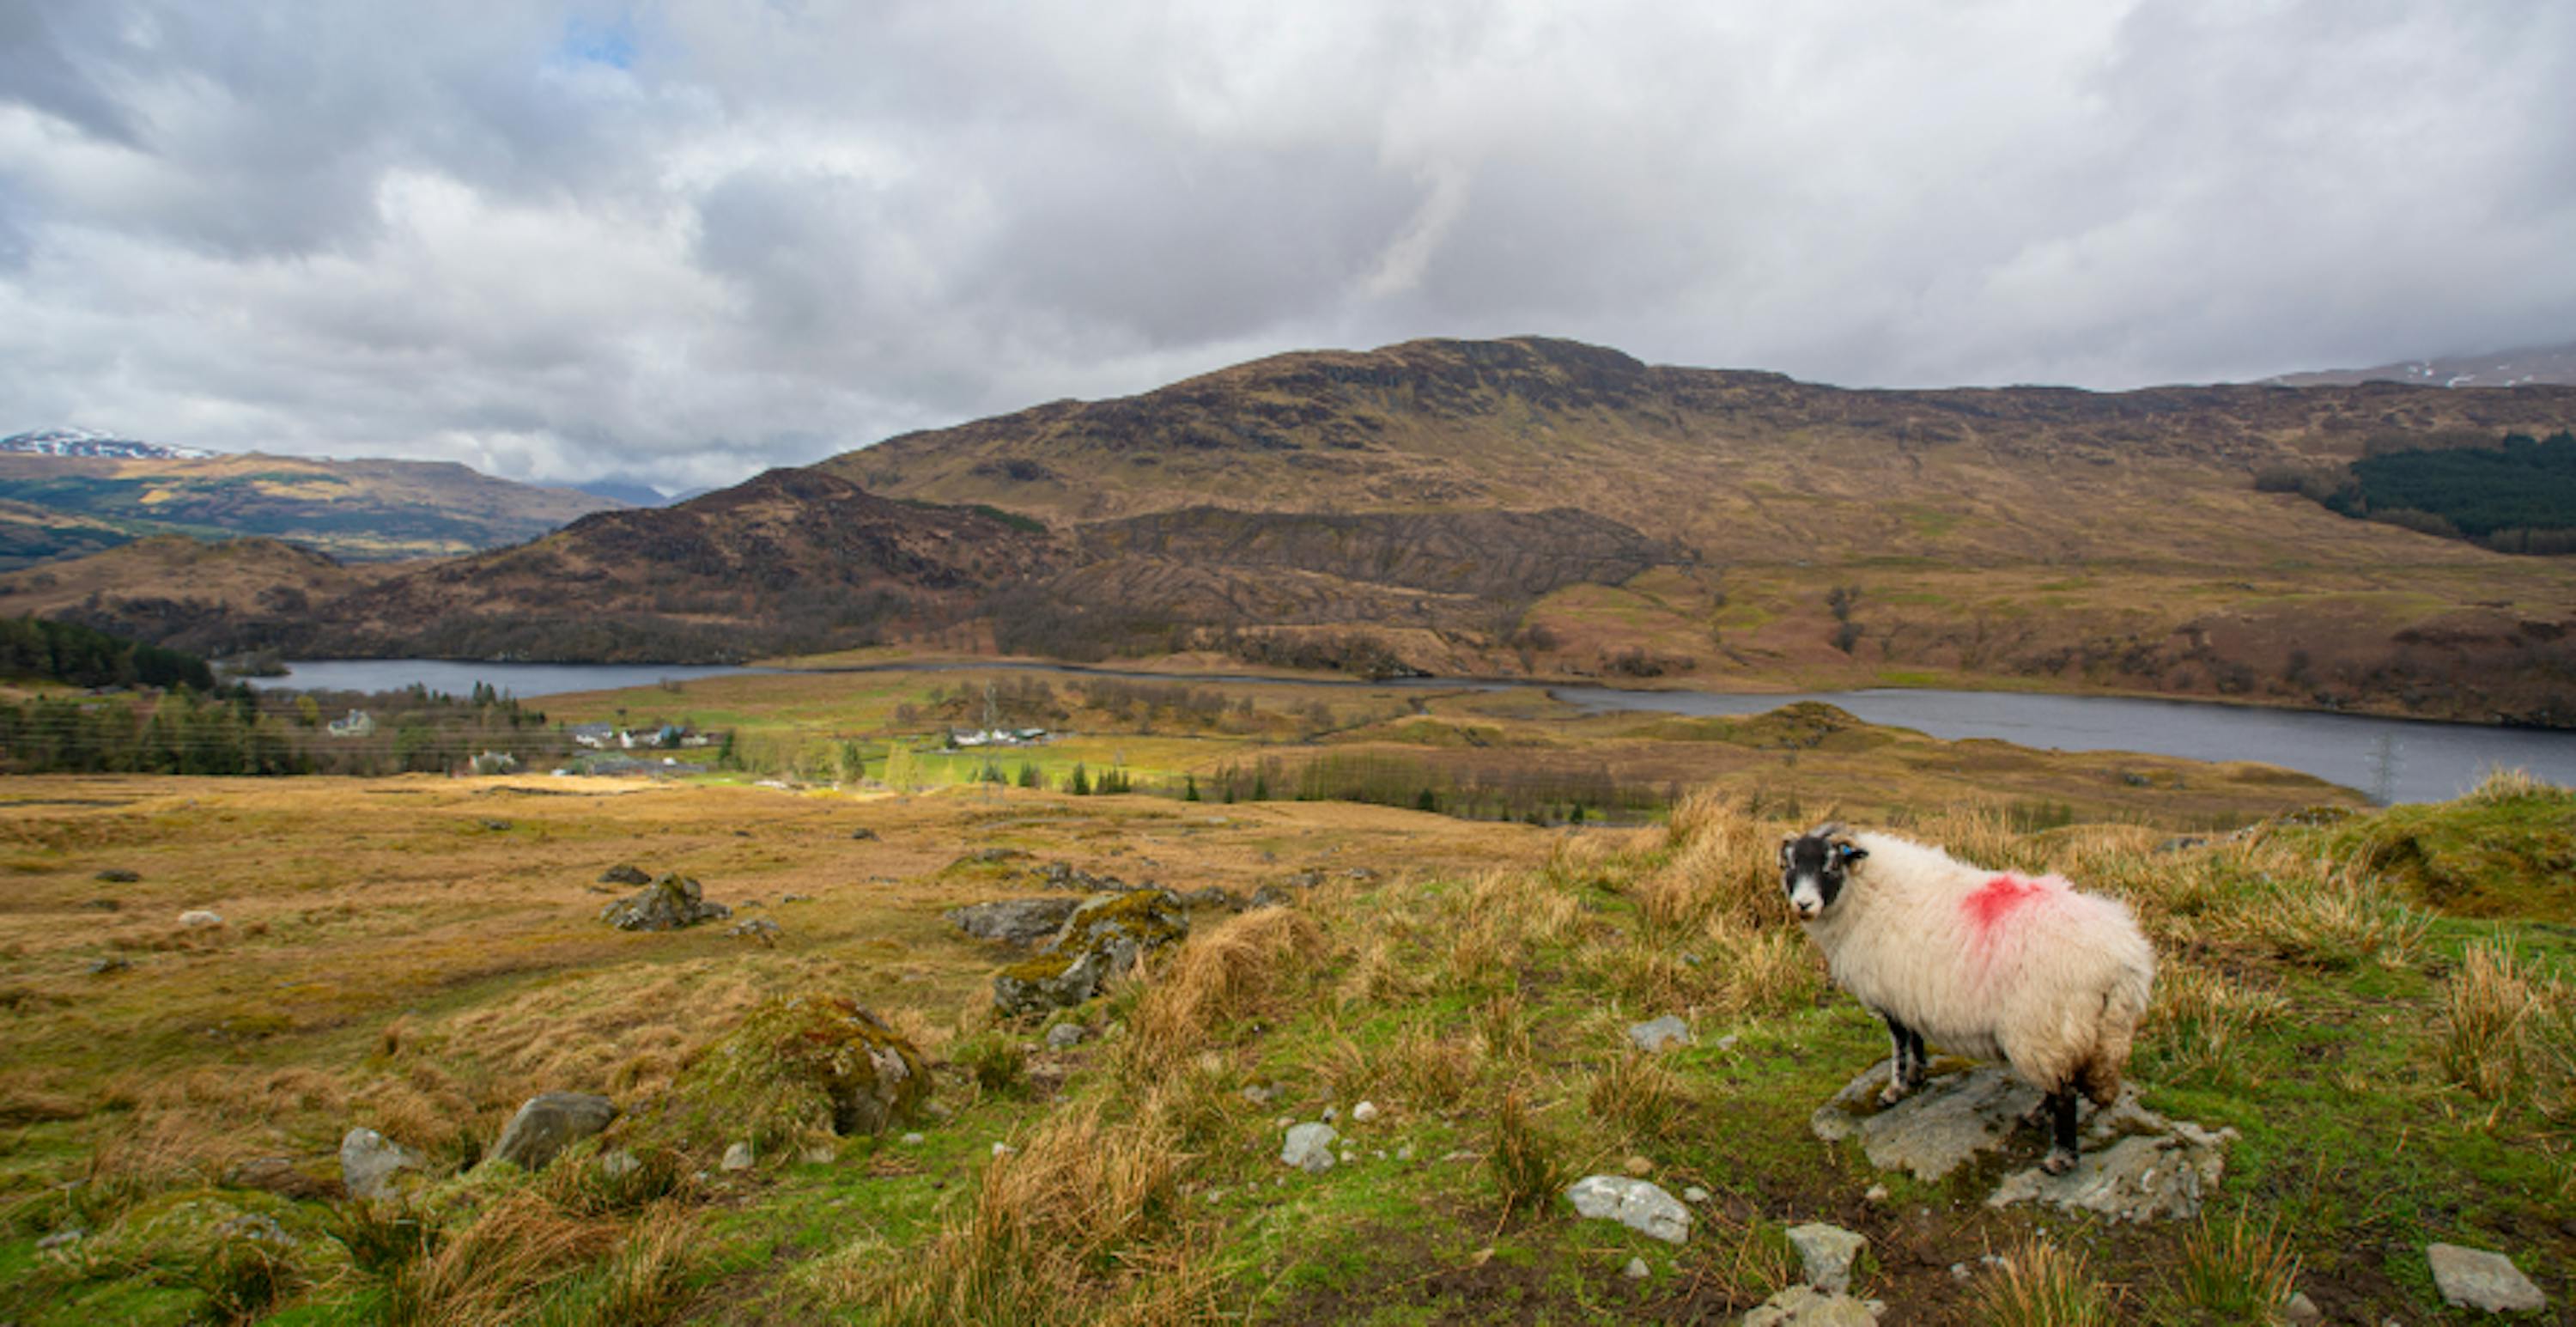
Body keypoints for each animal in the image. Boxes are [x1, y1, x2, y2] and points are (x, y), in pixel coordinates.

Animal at [1772, 819, 2154, 1175]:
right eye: (1789, 864)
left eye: (1831, 865)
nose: (1803, 904)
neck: (1863, 894)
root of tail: (2126, 960)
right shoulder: (1909, 991)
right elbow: (1915, 1038)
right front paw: (1918, 1075)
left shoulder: (1890, 991)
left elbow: (1899, 1043)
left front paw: (1894, 1090)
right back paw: (2036, 1116)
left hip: (2045, 1026)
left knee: (2064, 1092)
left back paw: (2060, 1157)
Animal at [2421, 1242, 2545, 1314]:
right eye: (2536, 1298)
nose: (2545, 1305)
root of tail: (2430, 1249)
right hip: (2450, 1287)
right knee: (2449, 1298)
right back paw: (2462, 1304)